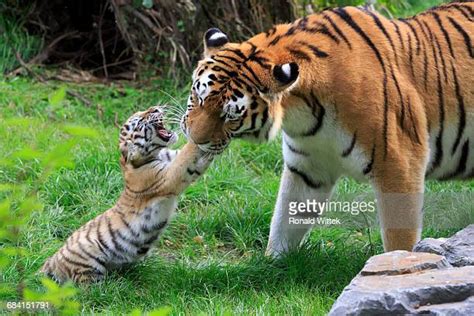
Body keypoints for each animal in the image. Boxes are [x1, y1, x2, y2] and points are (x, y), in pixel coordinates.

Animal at [181, 1, 474, 256]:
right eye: (199, 96)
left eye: (230, 115)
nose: (194, 138)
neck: (302, 114)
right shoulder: (307, 167)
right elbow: (284, 220)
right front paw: (272, 265)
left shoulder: (399, 164)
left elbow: (399, 238)